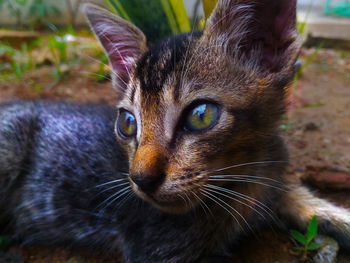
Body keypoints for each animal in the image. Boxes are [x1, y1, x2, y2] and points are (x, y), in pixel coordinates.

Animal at [0, 0, 350, 262]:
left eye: (200, 116)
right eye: (128, 123)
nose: (141, 179)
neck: (247, 177)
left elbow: (305, 199)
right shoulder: (158, 248)